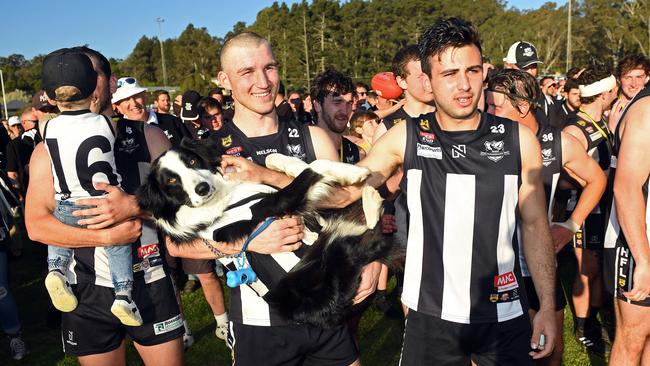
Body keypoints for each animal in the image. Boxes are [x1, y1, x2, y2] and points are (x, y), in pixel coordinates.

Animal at [137, 139, 390, 328]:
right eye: (171, 180)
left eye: (191, 160)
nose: (202, 189)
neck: (224, 196)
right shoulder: (272, 204)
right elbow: (314, 167)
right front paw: (354, 171)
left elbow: (276, 158)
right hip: (337, 253)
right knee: (371, 237)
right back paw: (372, 201)